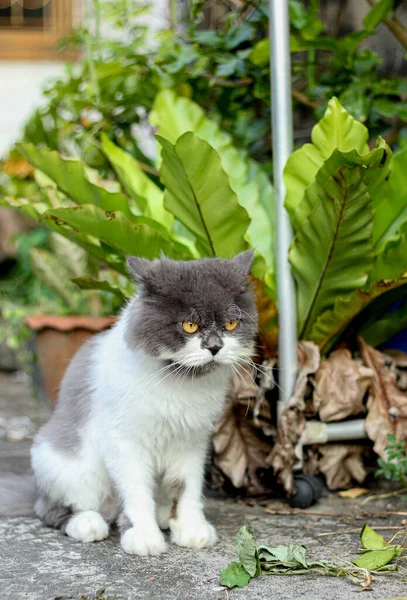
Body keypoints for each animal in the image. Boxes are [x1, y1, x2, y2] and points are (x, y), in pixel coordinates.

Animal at [0, 251, 258, 556]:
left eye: (231, 324)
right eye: (189, 325)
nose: (215, 347)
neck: (178, 381)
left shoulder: (191, 443)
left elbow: (187, 490)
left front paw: (191, 530)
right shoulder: (125, 443)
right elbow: (136, 493)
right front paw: (144, 538)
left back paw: (162, 515)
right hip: (62, 464)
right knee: (53, 509)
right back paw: (88, 524)